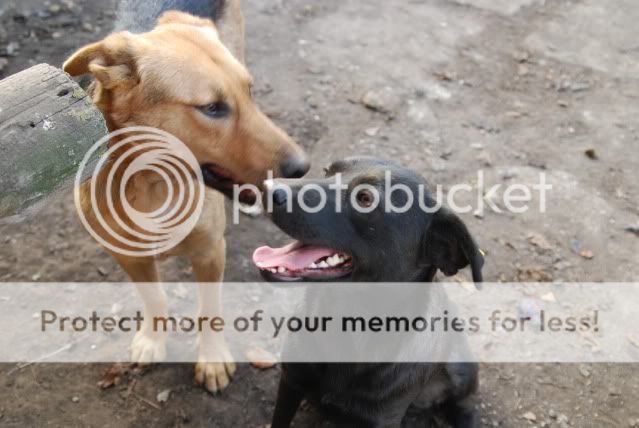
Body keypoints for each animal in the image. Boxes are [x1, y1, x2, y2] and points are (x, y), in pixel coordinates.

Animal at [63, 1, 308, 392]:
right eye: (212, 108)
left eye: (249, 92)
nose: (303, 166)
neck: (151, 186)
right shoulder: (128, 258)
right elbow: (155, 298)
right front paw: (153, 339)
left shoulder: (211, 251)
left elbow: (210, 310)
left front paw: (212, 359)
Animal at [252, 159, 482, 426]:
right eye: (328, 171)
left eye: (364, 198)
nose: (267, 188)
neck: (347, 324)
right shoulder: (291, 381)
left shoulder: (382, 417)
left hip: (462, 370)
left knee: (465, 405)